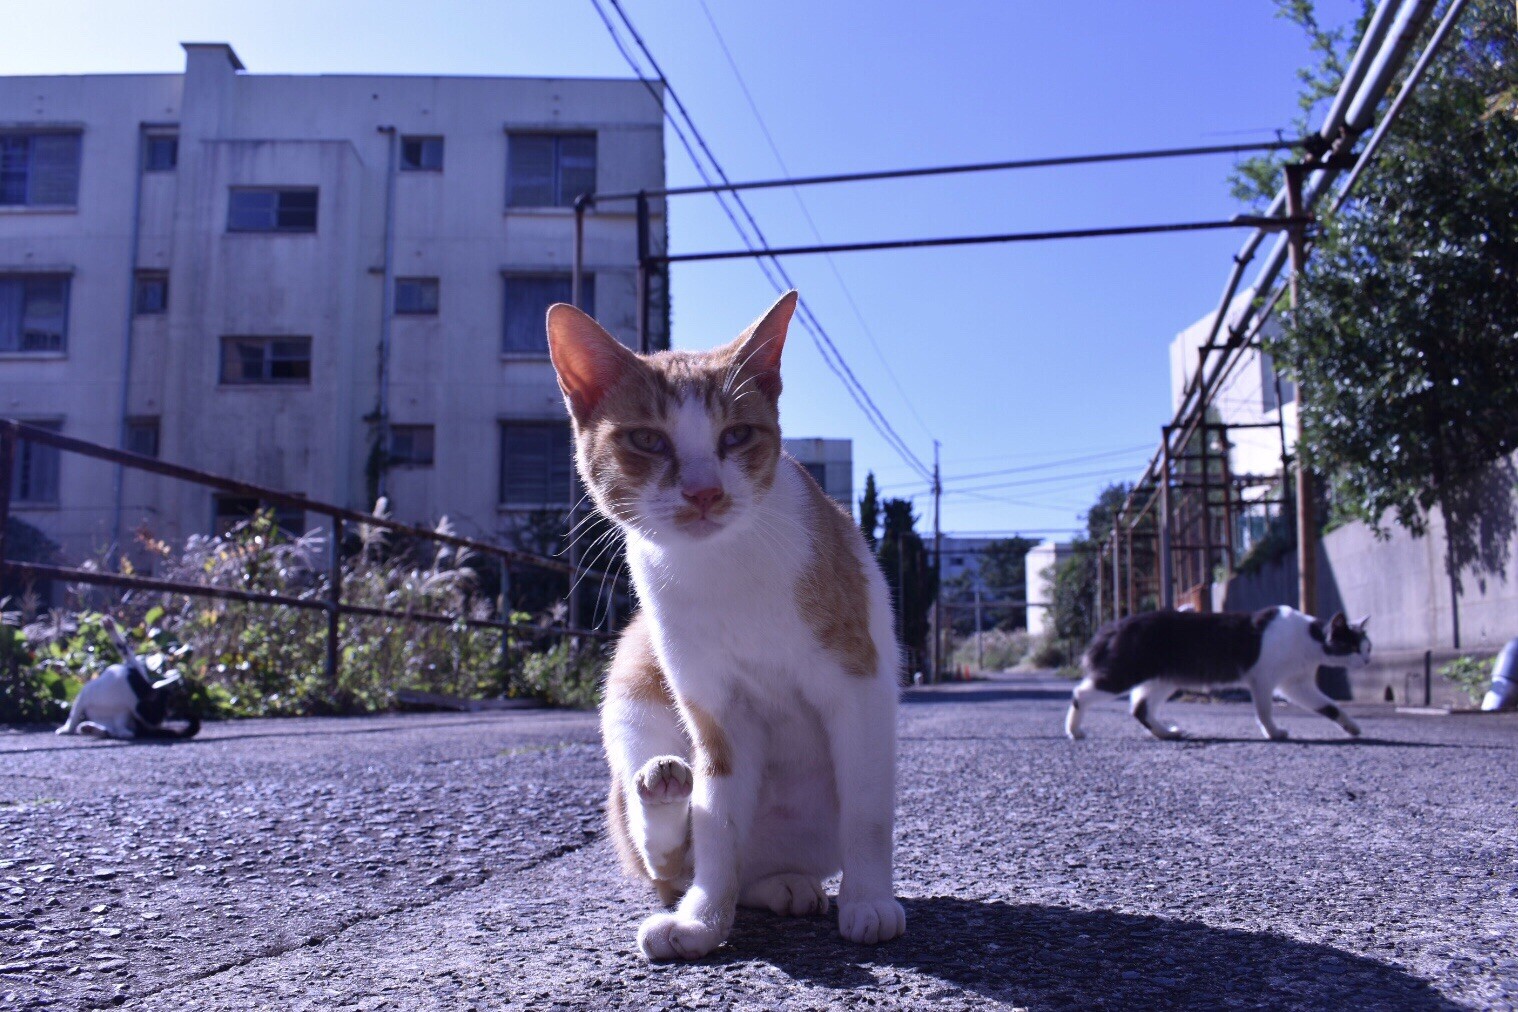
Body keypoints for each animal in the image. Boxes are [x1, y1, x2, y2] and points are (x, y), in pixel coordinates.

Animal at [55, 619, 198, 743]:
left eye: (161, 714)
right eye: (161, 711)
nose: (158, 722)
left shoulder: (124, 711)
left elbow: (120, 729)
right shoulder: (85, 694)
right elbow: (73, 716)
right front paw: (67, 729)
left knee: (114, 731)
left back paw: (92, 729)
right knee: (108, 729)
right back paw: (90, 728)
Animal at [543, 292, 898, 964]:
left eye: (736, 435)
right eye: (647, 440)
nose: (704, 491)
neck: (722, 568)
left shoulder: (855, 686)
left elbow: (866, 813)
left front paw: (870, 902)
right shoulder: (717, 713)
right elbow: (715, 825)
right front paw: (704, 924)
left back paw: (783, 885)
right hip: (630, 696)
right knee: (672, 858)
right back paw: (663, 795)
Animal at [1068, 609, 1378, 743]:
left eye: (1368, 647)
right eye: (1353, 646)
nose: (1367, 660)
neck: (1310, 641)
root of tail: (1118, 623)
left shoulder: (1296, 685)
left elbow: (1330, 706)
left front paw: (1352, 727)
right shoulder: (1263, 680)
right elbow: (1264, 711)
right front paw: (1273, 733)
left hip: (1164, 679)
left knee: (1139, 708)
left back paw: (1166, 732)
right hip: (1128, 671)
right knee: (1081, 693)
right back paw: (1074, 730)